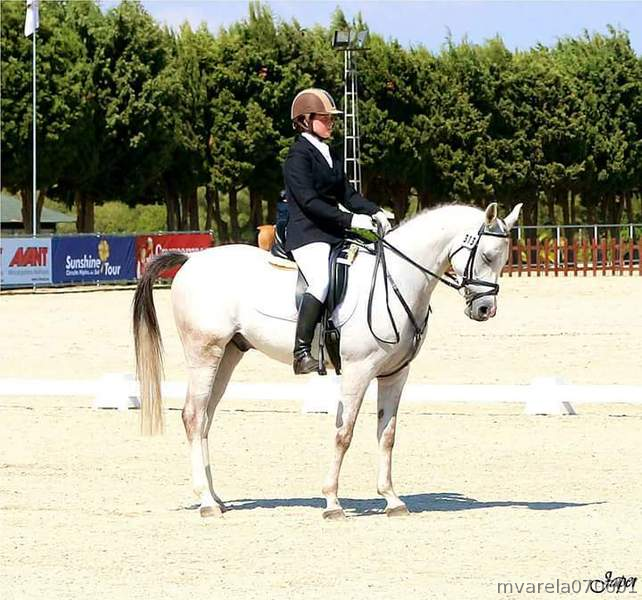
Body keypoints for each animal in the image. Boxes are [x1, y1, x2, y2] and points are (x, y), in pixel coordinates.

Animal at [133, 202, 522, 519]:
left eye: (504, 259)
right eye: (487, 255)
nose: (484, 310)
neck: (397, 278)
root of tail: (191, 260)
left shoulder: (395, 374)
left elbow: (387, 435)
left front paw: (392, 500)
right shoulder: (357, 370)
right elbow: (343, 434)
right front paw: (332, 502)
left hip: (229, 354)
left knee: (206, 419)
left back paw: (215, 498)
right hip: (204, 352)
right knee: (193, 416)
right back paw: (206, 502)